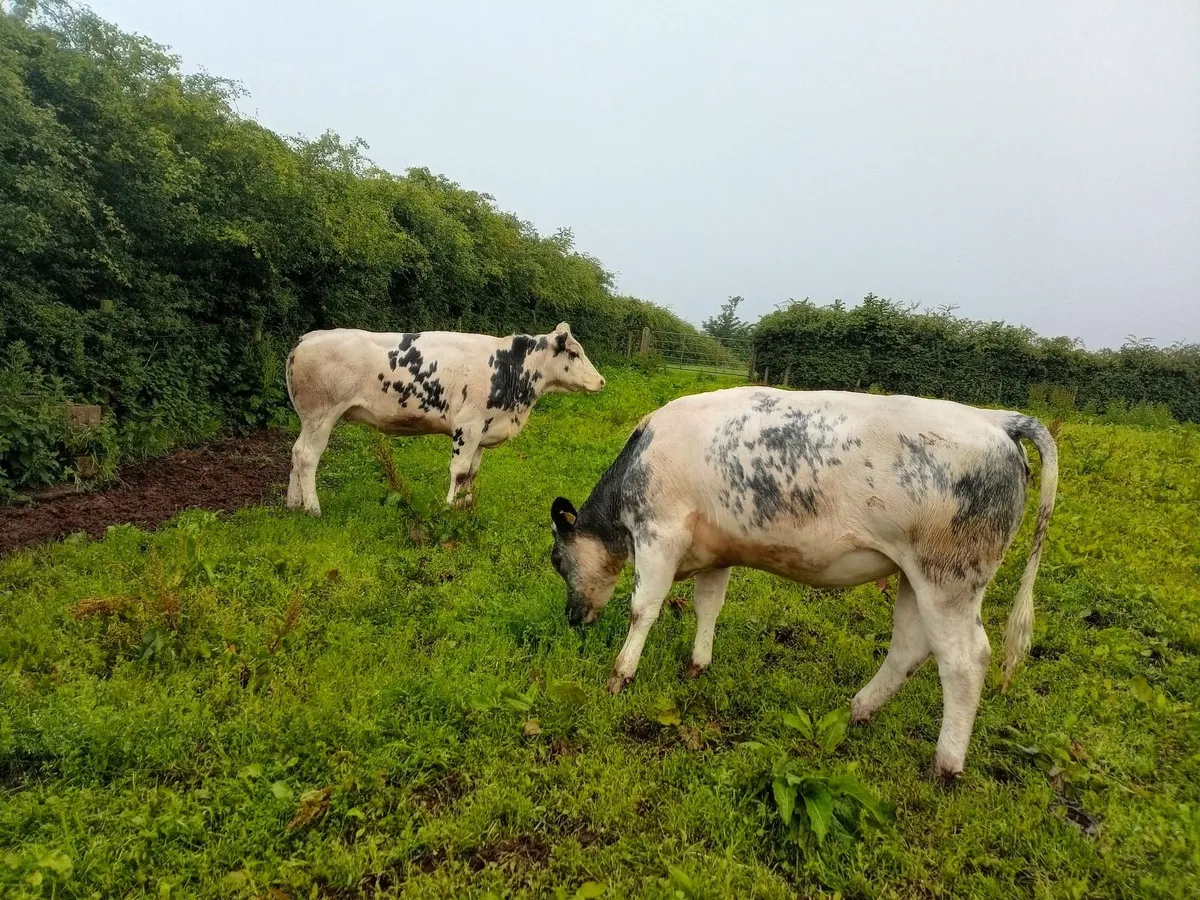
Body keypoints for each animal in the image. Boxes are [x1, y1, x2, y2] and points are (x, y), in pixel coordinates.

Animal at [285, 322, 604, 514]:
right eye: (574, 353)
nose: (601, 381)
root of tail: (307, 337)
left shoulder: (483, 432)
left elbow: (472, 472)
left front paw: (467, 504)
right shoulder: (468, 426)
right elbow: (460, 470)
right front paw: (451, 506)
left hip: (309, 418)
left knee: (296, 452)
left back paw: (293, 503)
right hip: (321, 414)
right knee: (308, 456)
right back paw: (312, 508)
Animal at [548, 386, 1057, 781]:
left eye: (556, 561)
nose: (572, 616)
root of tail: (996, 420)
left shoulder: (660, 534)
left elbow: (643, 608)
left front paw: (620, 674)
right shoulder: (716, 549)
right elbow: (708, 605)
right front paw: (697, 664)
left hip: (950, 578)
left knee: (965, 660)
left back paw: (946, 765)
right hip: (915, 576)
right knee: (909, 647)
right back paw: (858, 709)